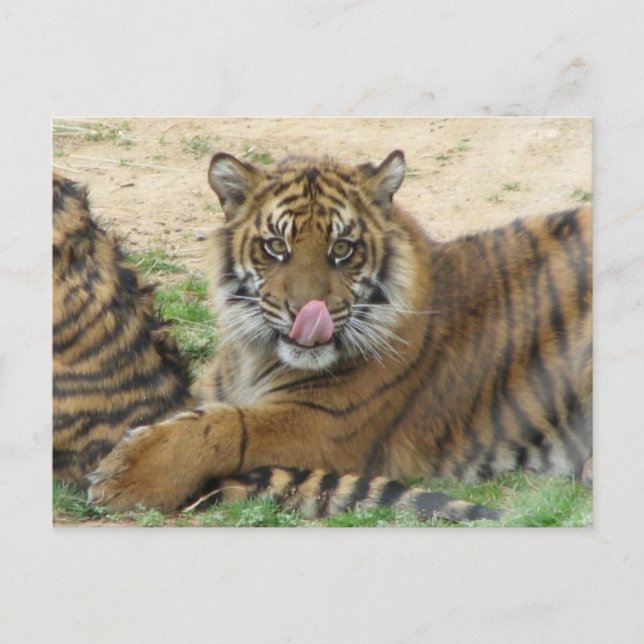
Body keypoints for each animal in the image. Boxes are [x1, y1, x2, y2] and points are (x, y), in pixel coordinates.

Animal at [85, 150, 592, 518]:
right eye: (277, 246)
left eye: (343, 249)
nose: (308, 312)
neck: (257, 355)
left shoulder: (326, 422)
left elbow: (227, 426)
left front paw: (126, 476)